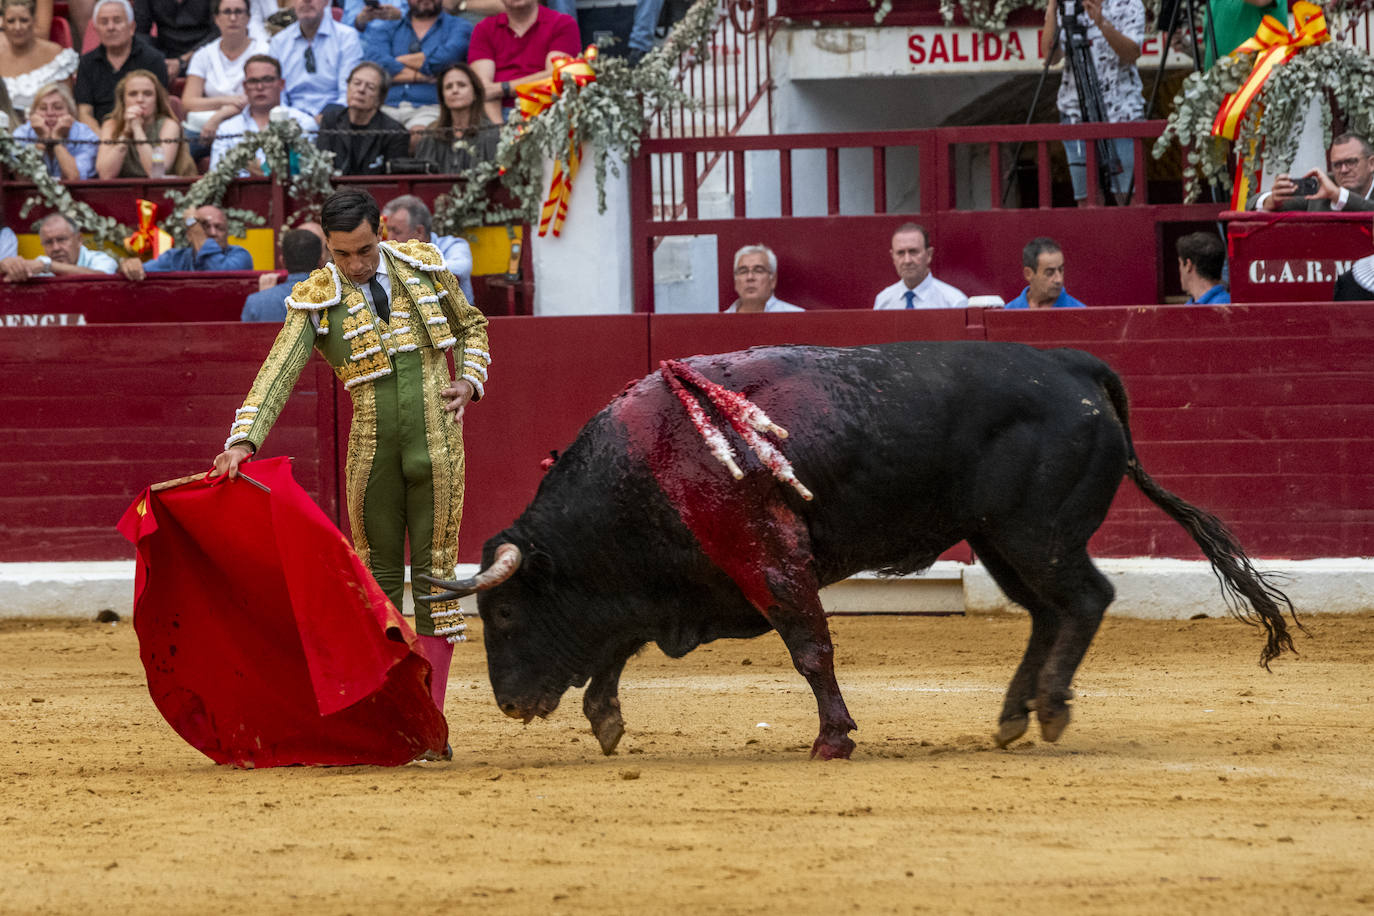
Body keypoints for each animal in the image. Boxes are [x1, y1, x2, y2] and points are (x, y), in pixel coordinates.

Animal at [420, 341, 1297, 758]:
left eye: (503, 616)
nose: (509, 703)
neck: (649, 467)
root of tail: (1070, 367)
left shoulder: (772, 563)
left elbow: (810, 649)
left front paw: (832, 737)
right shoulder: (676, 587)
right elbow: (618, 646)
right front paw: (605, 720)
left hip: (1035, 536)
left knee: (1086, 599)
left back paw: (1048, 709)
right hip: (999, 542)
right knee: (1050, 614)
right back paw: (1014, 715)